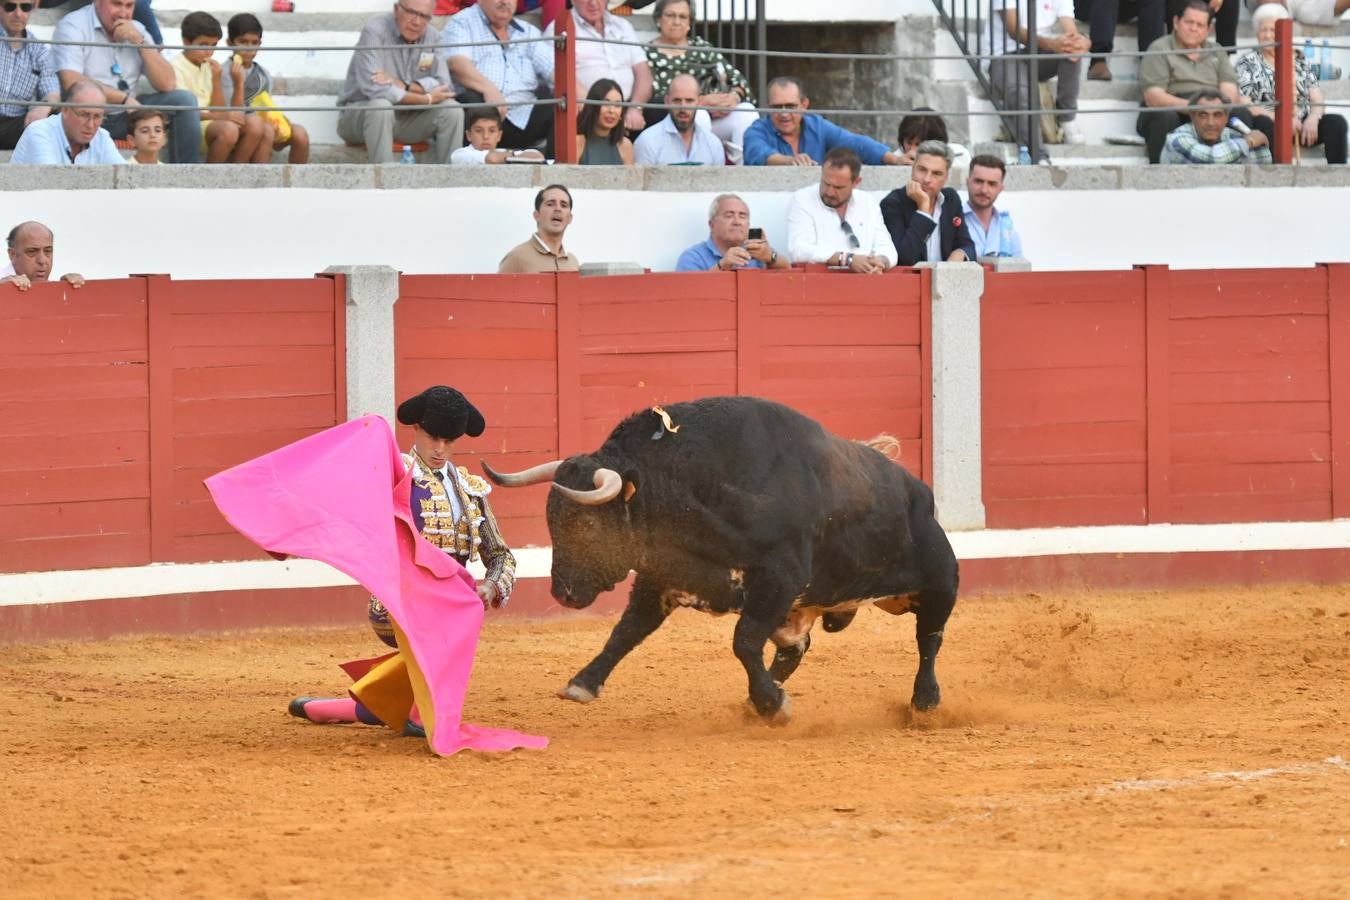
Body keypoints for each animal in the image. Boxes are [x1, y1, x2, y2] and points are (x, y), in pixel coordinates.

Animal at [486, 396, 961, 728]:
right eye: (551, 519)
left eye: (585, 524)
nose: (562, 594)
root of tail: (919, 489)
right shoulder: (662, 578)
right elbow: (627, 632)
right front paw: (581, 684)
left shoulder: (779, 578)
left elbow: (743, 640)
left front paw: (775, 707)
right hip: (801, 609)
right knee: (795, 648)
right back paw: (758, 700)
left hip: (940, 582)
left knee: (930, 638)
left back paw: (925, 703)